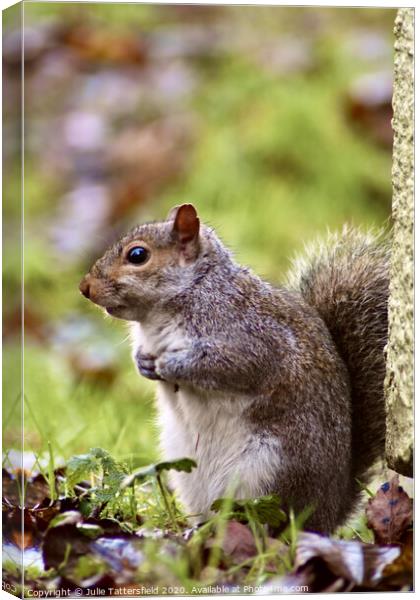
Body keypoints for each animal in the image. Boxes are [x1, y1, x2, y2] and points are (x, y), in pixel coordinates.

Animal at [79, 204, 390, 532]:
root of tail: (326, 516)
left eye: (137, 255)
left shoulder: (250, 338)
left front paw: (171, 364)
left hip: (265, 473)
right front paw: (144, 363)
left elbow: (231, 366)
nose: (85, 288)